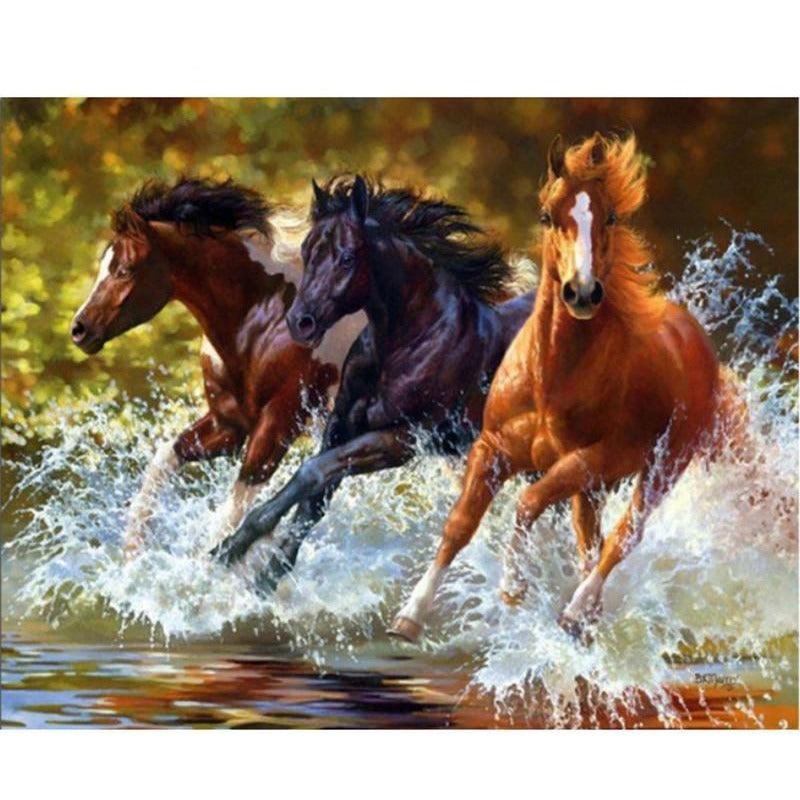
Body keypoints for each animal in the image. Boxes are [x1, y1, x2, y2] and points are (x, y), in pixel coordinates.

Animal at [71, 178, 366, 554]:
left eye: (124, 270)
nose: (79, 330)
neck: (265, 319)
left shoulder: (278, 423)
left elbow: (231, 513)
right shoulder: (229, 423)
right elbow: (164, 459)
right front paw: (132, 552)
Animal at [210, 175, 536, 592]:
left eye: (348, 257)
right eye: (307, 251)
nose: (300, 322)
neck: (411, 341)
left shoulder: (401, 439)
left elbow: (312, 473)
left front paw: (235, 546)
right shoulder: (343, 424)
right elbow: (315, 498)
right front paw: (266, 574)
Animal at [391, 133, 741, 644]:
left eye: (610, 216)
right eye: (546, 216)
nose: (582, 292)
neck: (550, 380)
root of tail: (695, 339)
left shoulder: (594, 459)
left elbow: (527, 503)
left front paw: (512, 587)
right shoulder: (493, 448)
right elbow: (460, 525)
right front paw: (410, 616)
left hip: (659, 468)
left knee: (622, 537)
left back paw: (575, 612)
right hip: (590, 489)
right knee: (590, 541)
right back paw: (586, 616)